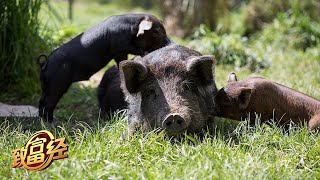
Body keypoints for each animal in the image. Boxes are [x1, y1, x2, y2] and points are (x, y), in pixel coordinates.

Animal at [37, 13, 170, 121]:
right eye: (156, 31)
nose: (169, 42)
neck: (133, 29)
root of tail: (45, 63)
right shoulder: (119, 47)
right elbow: (131, 52)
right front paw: (144, 52)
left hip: (45, 85)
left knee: (42, 101)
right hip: (57, 84)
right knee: (49, 103)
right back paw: (51, 122)